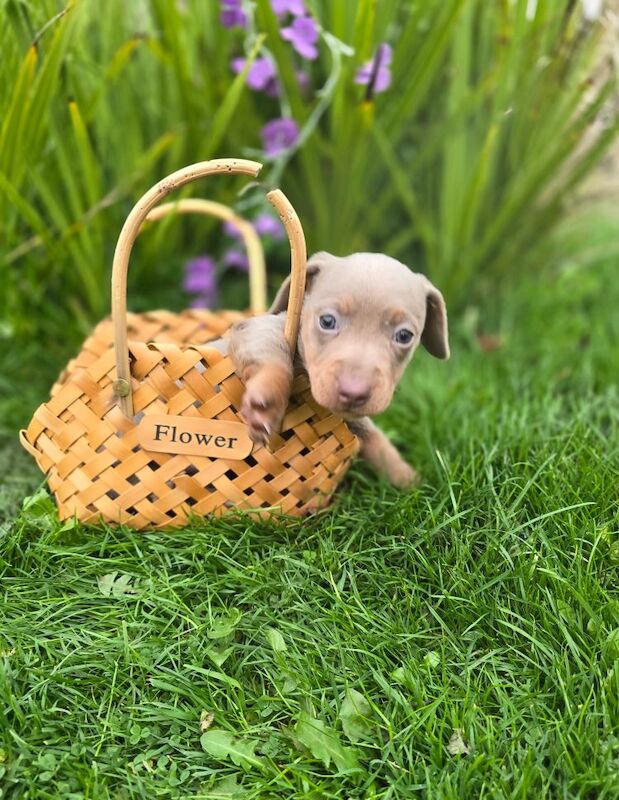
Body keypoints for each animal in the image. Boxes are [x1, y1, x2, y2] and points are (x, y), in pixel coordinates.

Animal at [225, 252, 448, 488]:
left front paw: (410, 480)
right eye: (327, 321)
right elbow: (269, 349)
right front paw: (268, 402)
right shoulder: (259, 328)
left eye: (404, 336)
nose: (354, 393)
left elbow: (378, 442)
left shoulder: (356, 421)